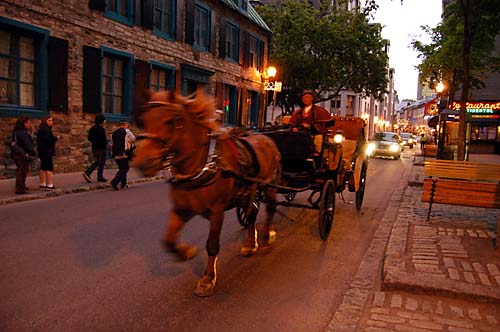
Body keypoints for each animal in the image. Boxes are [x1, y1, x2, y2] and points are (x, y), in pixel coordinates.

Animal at [133, 88, 282, 296]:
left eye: (171, 121)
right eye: (143, 120)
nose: (142, 162)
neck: (202, 164)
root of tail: (267, 138)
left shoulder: (217, 211)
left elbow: (212, 245)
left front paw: (208, 279)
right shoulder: (181, 209)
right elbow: (168, 241)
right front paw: (186, 252)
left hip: (269, 185)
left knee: (270, 208)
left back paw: (268, 234)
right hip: (249, 191)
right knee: (251, 214)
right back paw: (250, 245)